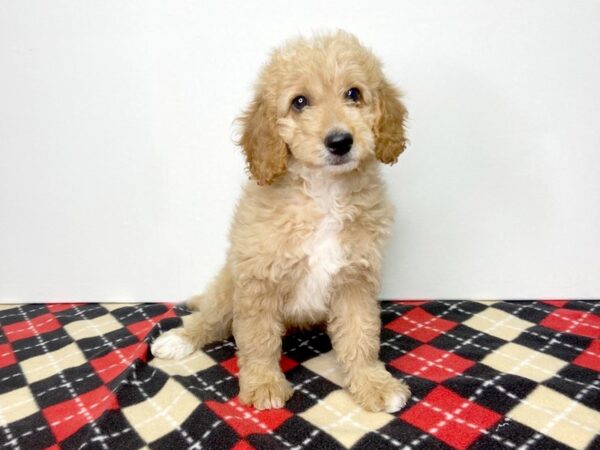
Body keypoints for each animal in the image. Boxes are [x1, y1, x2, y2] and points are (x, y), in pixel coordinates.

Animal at [152, 29, 410, 414]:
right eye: (299, 102)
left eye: (353, 94)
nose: (340, 141)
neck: (323, 193)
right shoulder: (258, 280)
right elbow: (258, 340)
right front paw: (264, 384)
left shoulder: (355, 281)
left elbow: (360, 335)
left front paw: (373, 383)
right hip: (228, 286)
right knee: (210, 319)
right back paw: (179, 339)